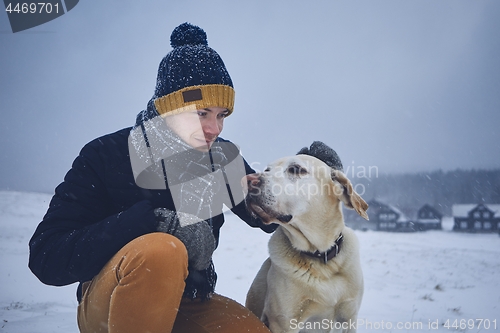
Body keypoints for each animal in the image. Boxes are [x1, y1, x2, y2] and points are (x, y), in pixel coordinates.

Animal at [244, 154, 370, 332]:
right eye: (267, 169)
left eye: (296, 169)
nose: (247, 179)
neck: (321, 257)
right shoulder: (284, 322)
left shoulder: (348, 318)